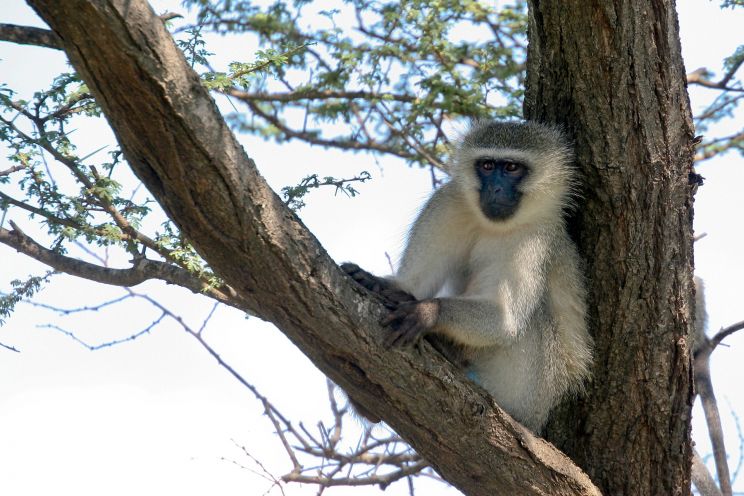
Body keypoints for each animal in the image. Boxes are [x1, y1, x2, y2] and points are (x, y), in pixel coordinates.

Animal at [342, 120, 592, 430]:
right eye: (487, 165)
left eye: (512, 168)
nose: (495, 188)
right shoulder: (447, 203)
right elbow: (413, 283)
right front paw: (382, 284)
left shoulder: (534, 240)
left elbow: (504, 321)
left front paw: (429, 311)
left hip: (527, 392)